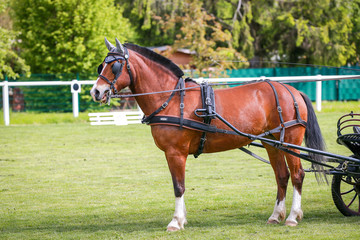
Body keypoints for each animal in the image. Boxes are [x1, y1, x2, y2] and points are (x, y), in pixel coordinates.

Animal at [90, 38, 326, 231]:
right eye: (103, 64)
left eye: (115, 65)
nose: (96, 91)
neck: (172, 98)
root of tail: (291, 90)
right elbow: (179, 185)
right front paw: (182, 219)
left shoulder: (175, 152)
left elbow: (178, 186)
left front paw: (176, 221)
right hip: (272, 142)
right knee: (282, 176)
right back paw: (276, 216)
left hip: (291, 142)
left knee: (297, 175)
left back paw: (293, 217)